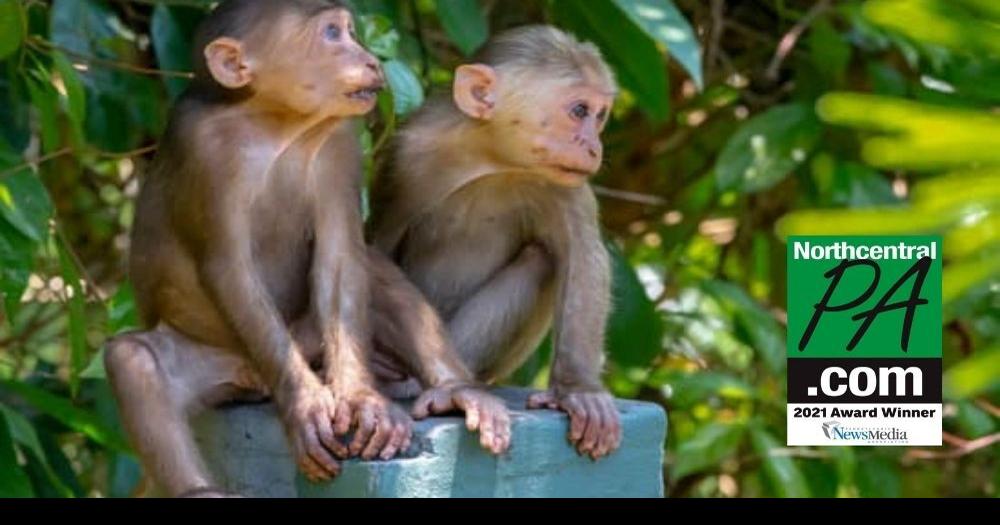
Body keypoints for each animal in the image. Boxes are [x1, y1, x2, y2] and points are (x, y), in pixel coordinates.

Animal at [103, 0, 509, 498]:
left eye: (351, 30)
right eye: (333, 34)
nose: (370, 59)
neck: (277, 124)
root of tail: (248, 380)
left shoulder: (338, 144)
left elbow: (340, 256)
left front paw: (362, 400)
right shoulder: (204, 148)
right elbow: (228, 268)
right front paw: (304, 405)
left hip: (307, 340)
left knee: (371, 271)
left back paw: (457, 389)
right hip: (215, 359)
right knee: (134, 362)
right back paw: (200, 489)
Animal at [369, 26, 622, 460]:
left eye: (600, 115)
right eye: (579, 111)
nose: (594, 147)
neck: (491, 160)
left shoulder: (564, 183)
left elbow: (583, 258)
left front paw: (578, 389)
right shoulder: (408, 155)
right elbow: (373, 246)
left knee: (541, 260)